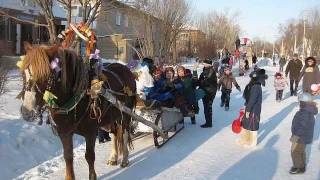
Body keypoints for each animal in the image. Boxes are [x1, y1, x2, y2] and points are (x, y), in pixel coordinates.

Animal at [18, 42, 136, 180]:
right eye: (23, 73)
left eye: (45, 75)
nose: (27, 112)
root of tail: (126, 69)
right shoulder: (64, 132)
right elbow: (68, 157)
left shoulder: (90, 132)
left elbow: (89, 156)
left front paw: (92, 176)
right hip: (110, 118)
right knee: (115, 133)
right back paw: (113, 157)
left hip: (125, 114)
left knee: (125, 133)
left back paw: (125, 159)